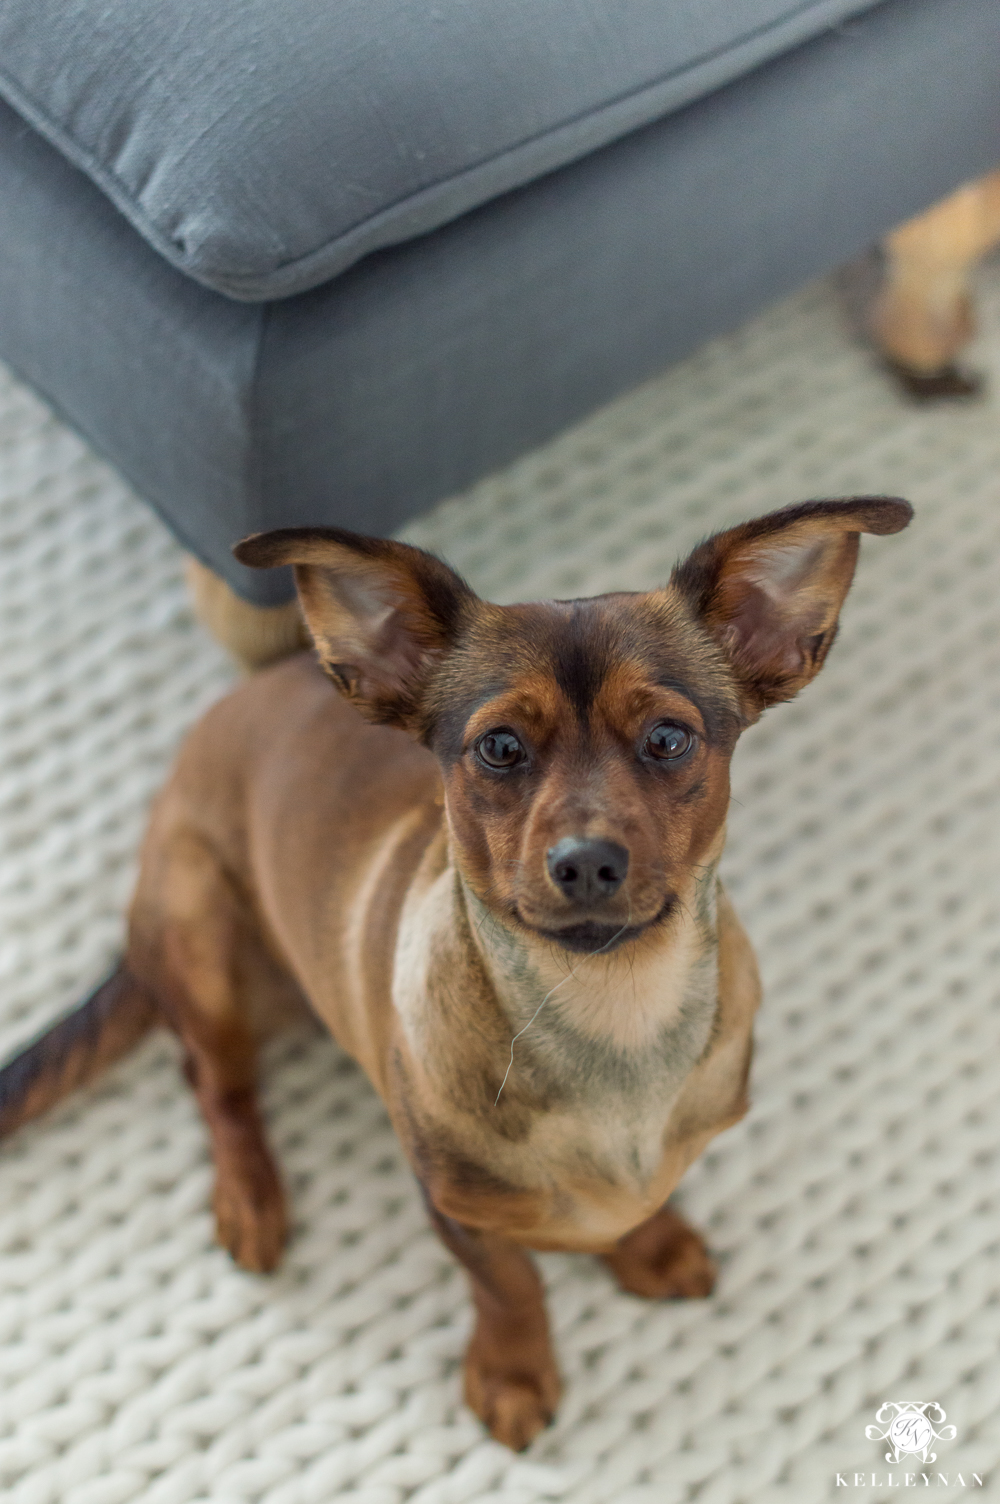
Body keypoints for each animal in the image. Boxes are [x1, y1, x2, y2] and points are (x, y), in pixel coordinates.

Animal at [0, 499, 908, 1449]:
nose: (586, 862)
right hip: (197, 926)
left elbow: (643, 1202)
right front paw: (513, 1372)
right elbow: (510, 1286)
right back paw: (251, 1199)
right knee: (216, 1082)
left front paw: (649, 1244)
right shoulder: (456, 1211)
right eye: (500, 747)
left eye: (669, 738)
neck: (612, 1016)